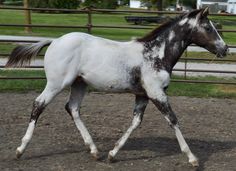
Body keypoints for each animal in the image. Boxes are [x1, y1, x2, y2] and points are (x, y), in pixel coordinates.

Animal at [6, 8, 229, 167]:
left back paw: (95, 151)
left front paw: (112, 154)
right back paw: (20, 149)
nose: (225, 49)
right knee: (38, 105)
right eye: (208, 28)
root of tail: (54, 41)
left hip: (79, 84)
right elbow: (173, 120)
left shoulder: (143, 95)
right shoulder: (156, 93)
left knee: (72, 108)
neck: (155, 54)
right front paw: (192, 158)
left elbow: (136, 122)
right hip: (56, 83)